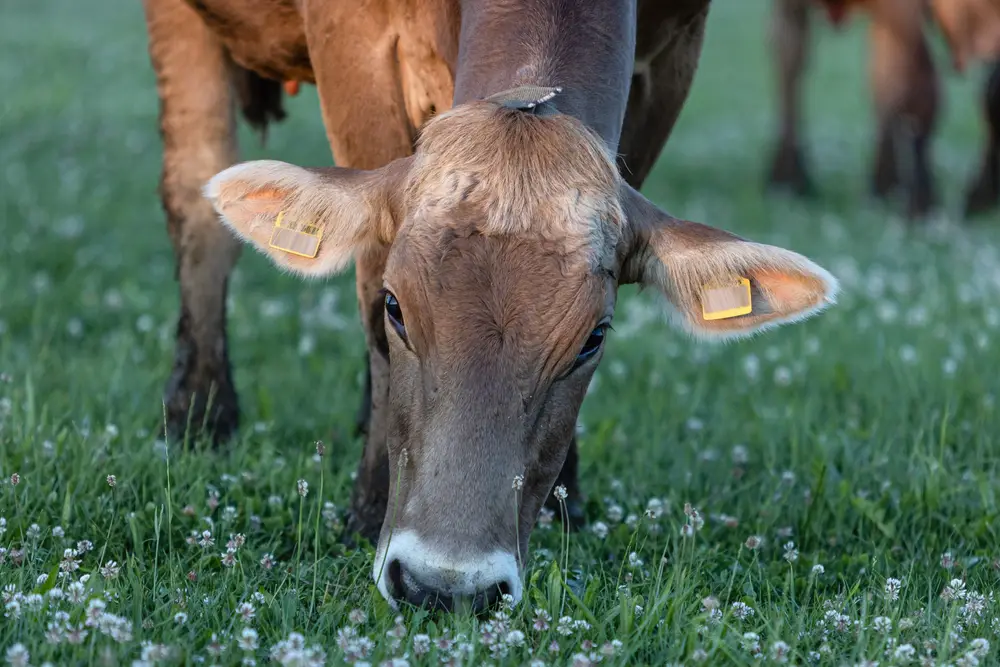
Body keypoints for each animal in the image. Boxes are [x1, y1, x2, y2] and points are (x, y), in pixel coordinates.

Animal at [145, 0, 840, 612]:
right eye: (396, 308)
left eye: (594, 337)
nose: (445, 586)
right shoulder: (357, 56)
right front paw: (367, 512)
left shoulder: (669, 62)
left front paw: (565, 502)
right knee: (195, 193)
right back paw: (199, 413)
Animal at [768, 0, 1000, 219]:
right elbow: (917, 93)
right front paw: (922, 206)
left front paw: (980, 196)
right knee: (790, 52)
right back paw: (788, 177)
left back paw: (883, 185)